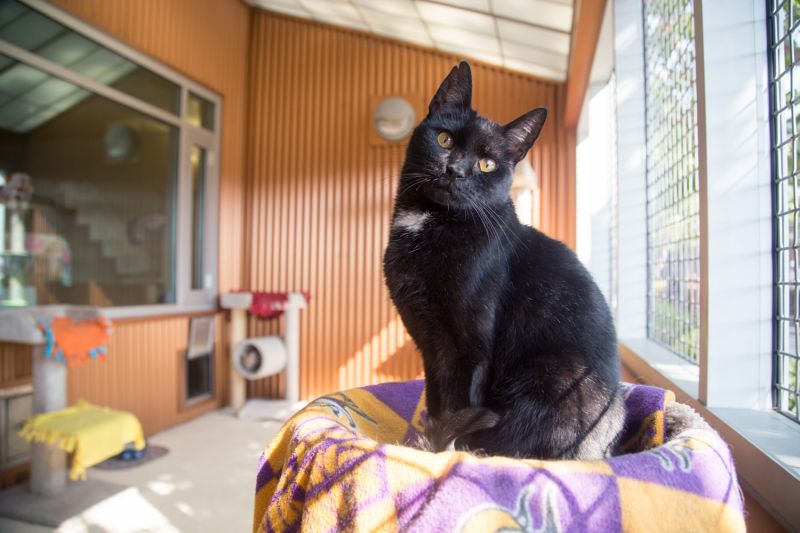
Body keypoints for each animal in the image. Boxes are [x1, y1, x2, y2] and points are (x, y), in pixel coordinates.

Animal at [382, 61, 624, 458]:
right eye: (445, 140)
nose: (455, 170)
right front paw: (430, 444)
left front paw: (438, 453)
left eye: (486, 164)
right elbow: (436, 402)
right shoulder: (430, 344)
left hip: (554, 375)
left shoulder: (471, 347)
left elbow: (459, 405)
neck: (432, 223)